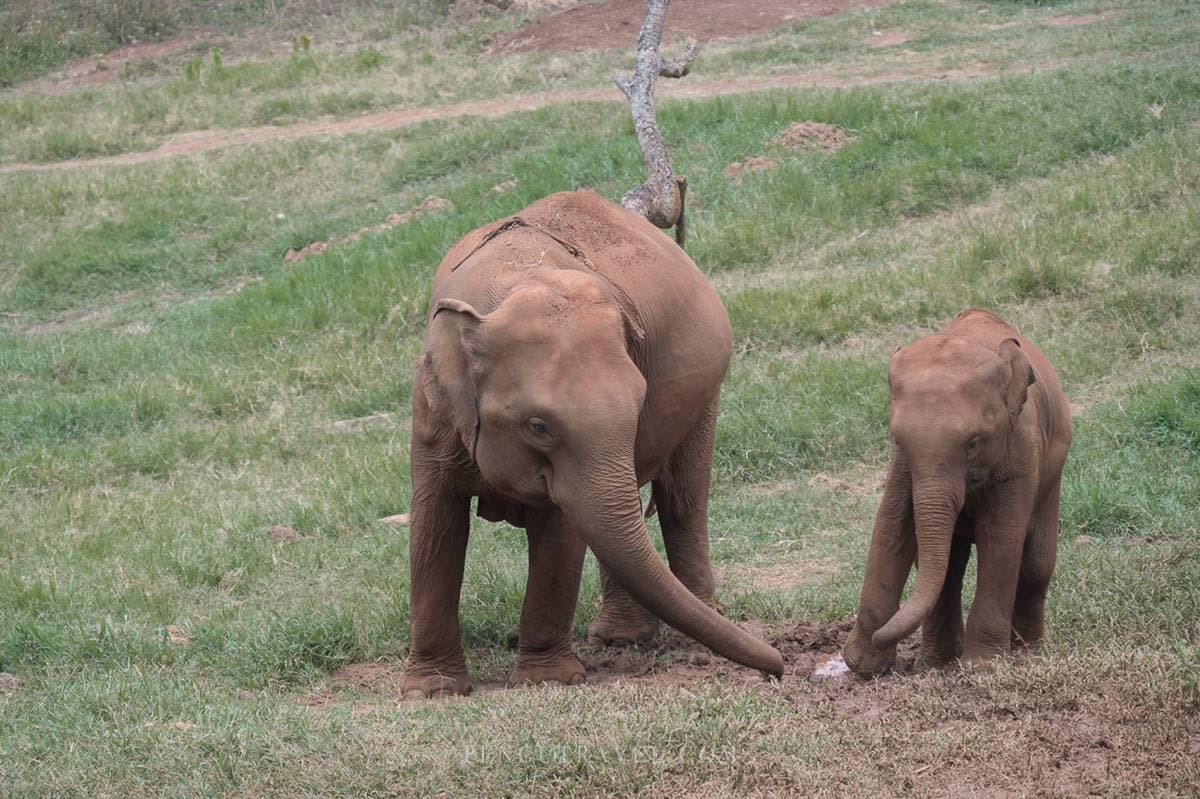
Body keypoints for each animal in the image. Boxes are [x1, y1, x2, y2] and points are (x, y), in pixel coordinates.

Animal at [401, 190, 784, 697]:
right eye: (538, 426)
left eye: (639, 404)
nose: (780, 667)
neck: (516, 279)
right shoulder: (432, 412)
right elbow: (435, 527)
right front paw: (432, 691)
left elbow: (562, 533)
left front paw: (546, 682)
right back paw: (621, 638)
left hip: (707, 393)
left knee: (682, 498)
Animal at [843, 309, 1072, 676]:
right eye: (897, 439)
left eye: (974, 442)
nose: (881, 637)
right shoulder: (903, 466)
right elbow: (892, 526)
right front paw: (864, 666)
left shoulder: (1021, 455)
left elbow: (1001, 538)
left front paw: (982, 667)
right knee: (950, 566)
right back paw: (936, 662)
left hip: (1053, 473)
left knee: (1037, 564)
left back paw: (1027, 654)